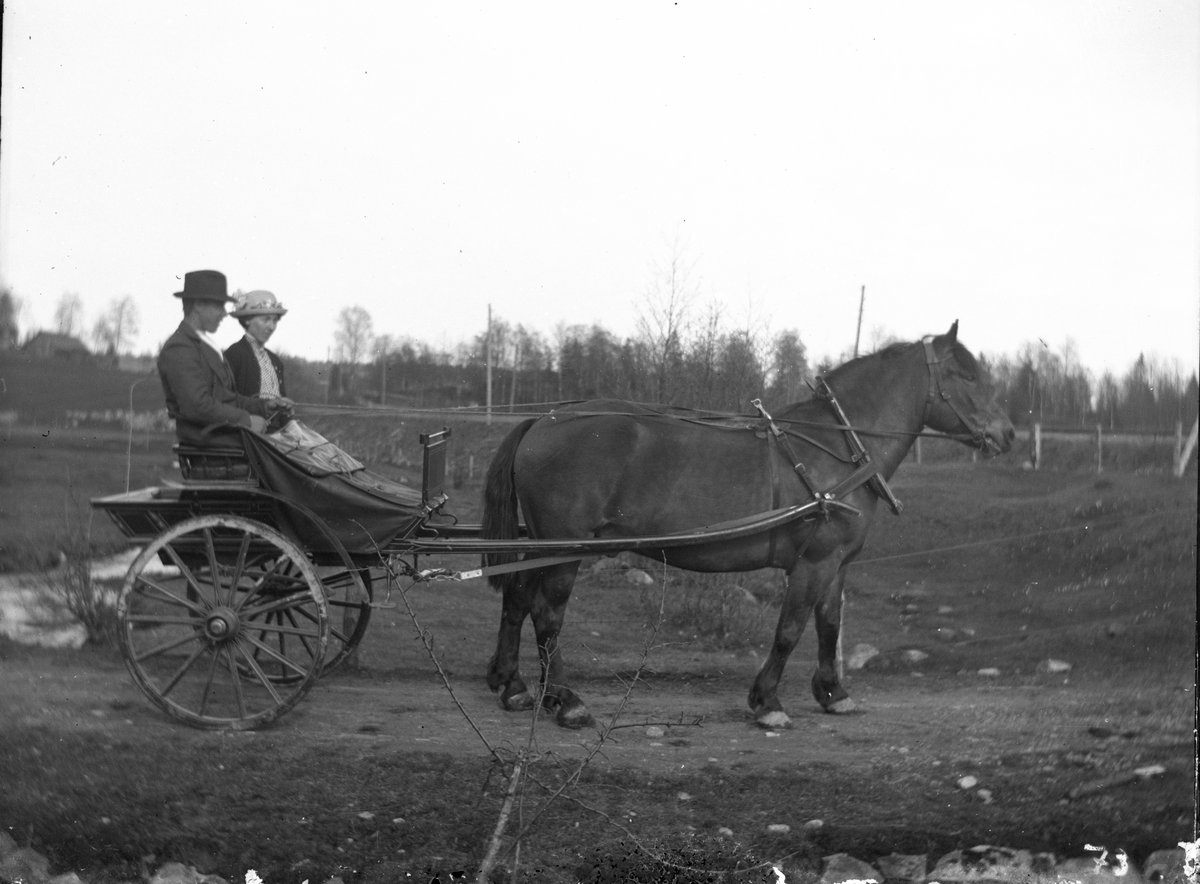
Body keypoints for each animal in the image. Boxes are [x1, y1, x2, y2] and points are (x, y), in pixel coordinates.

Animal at [480, 322, 1015, 729]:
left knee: (517, 600)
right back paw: (565, 700)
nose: (1006, 434)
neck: (837, 448)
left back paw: (513, 686)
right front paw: (767, 702)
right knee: (547, 614)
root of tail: (544, 421)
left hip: (542, 545)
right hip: (566, 549)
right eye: (965, 374)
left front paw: (833, 693)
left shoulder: (836, 565)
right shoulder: (813, 563)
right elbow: (790, 630)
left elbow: (828, 626)